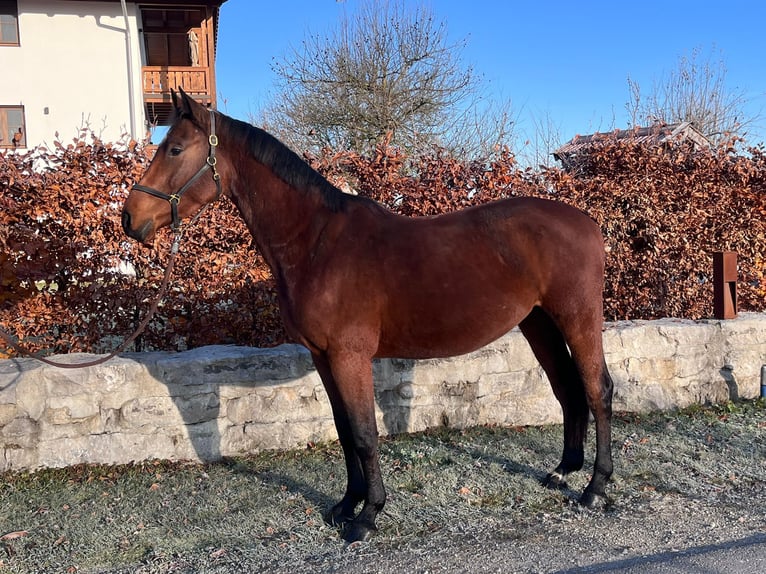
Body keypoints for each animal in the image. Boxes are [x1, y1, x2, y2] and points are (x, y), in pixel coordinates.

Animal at [122, 89, 614, 543]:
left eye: (175, 149)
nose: (130, 219)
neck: (317, 243)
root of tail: (587, 222)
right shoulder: (323, 357)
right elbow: (344, 431)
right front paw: (346, 504)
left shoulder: (349, 355)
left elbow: (364, 433)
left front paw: (367, 516)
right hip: (538, 323)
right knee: (568, 388)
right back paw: (564, 471)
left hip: (578, 318)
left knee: (597, 389)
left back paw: (595, 487)